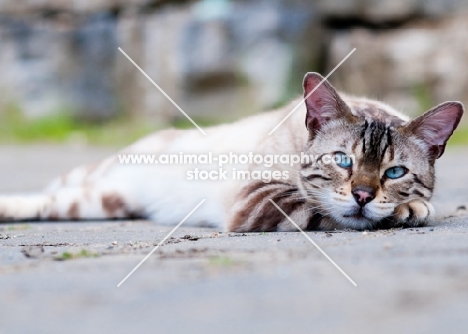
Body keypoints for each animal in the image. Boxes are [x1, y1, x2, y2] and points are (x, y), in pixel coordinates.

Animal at [0, 72, 462, 232]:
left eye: (395, 172)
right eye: (342, 160)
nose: (363, 195)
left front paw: (410, 207)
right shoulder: (257, 198)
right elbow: (326, 208)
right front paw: (408, 210)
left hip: (102, 202)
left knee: (46, 202)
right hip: (95, 181)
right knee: (51, 189)